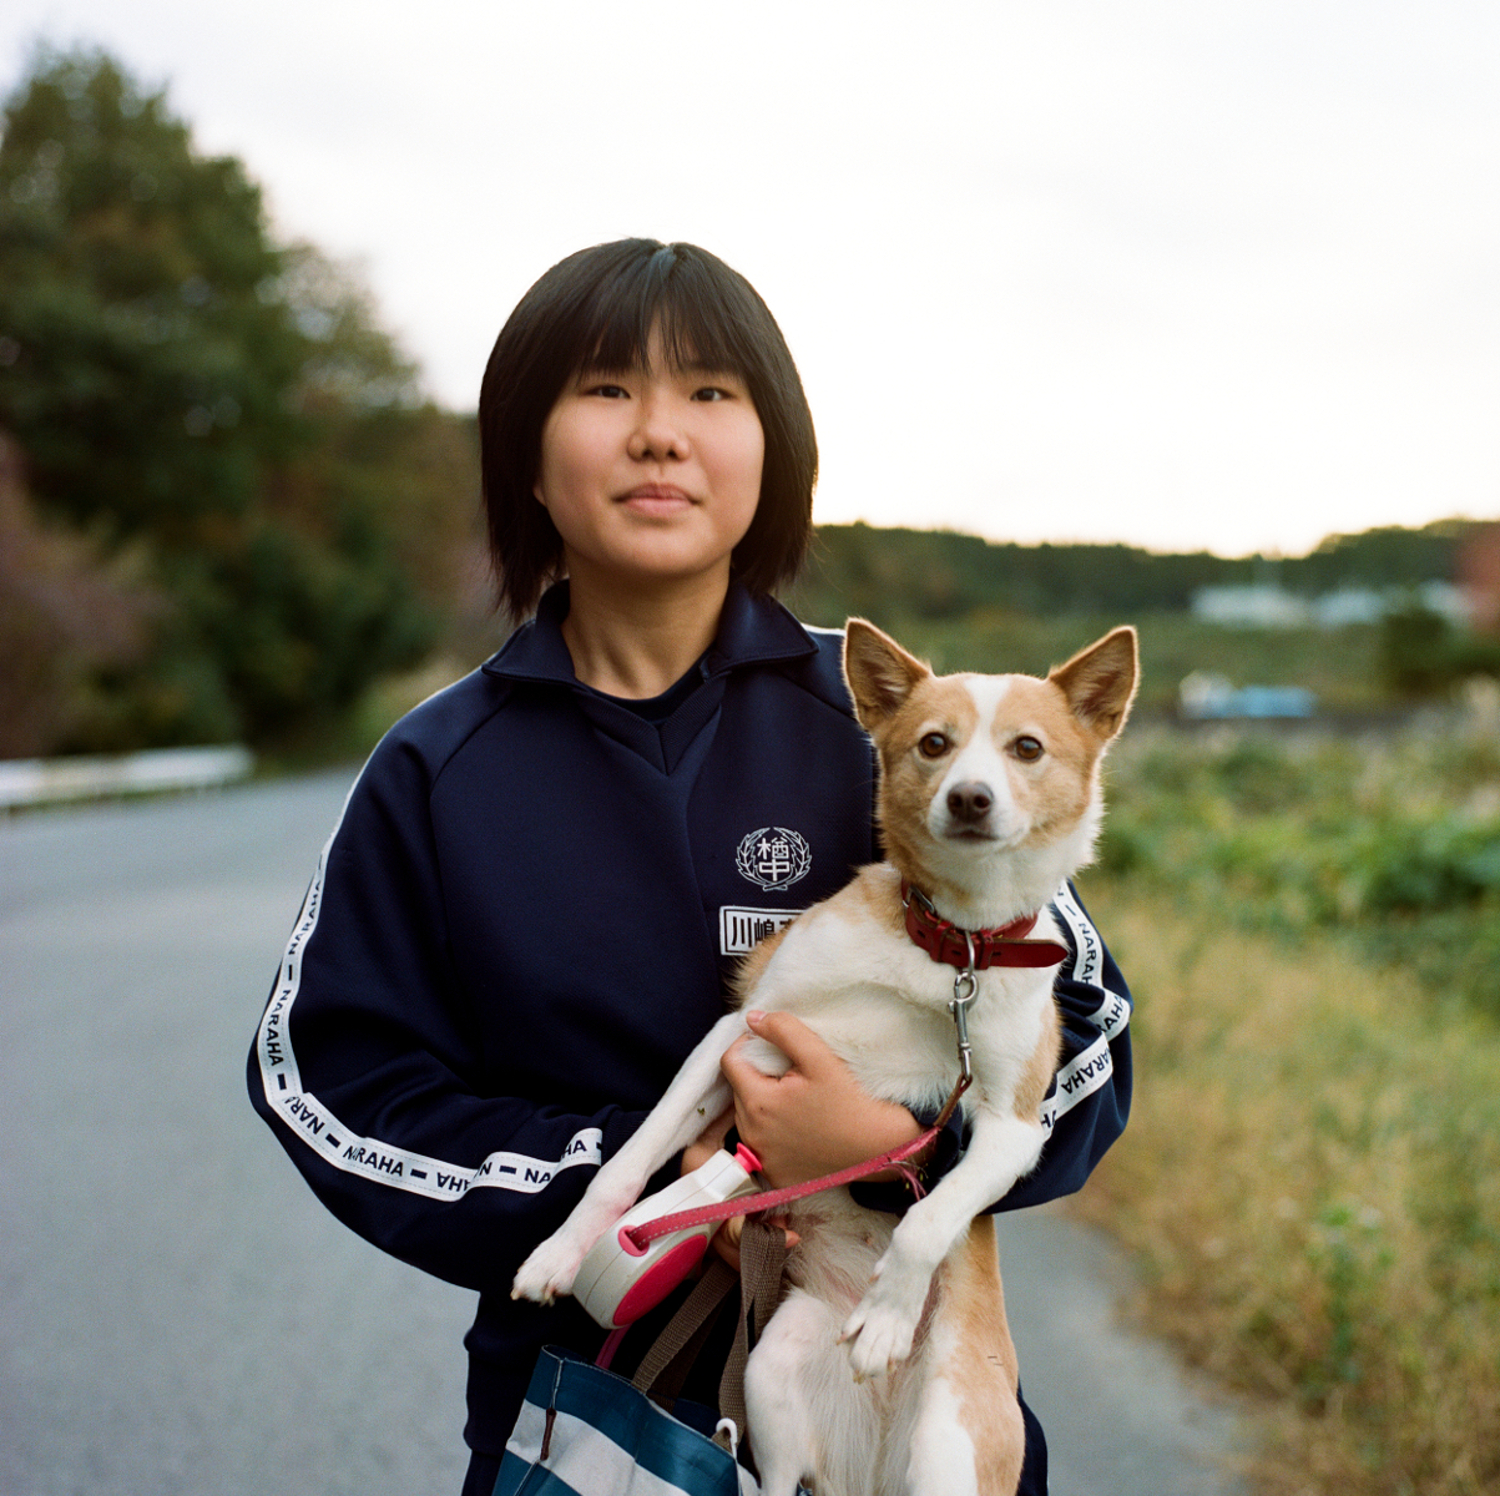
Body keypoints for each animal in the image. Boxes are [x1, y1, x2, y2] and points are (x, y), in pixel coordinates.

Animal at [513, 612, 1134, 1488]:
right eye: (934, 744)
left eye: (1028, 748)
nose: (969, 797)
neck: (951, 951)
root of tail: (872, 1462)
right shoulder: (741, 1039)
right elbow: (625, 1163)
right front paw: (561, 1253)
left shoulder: (1015, 1129)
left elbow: (931, 1215)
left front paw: (886, 1318)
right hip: (772, 1368)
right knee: (765, 1472)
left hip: (946, 1450)